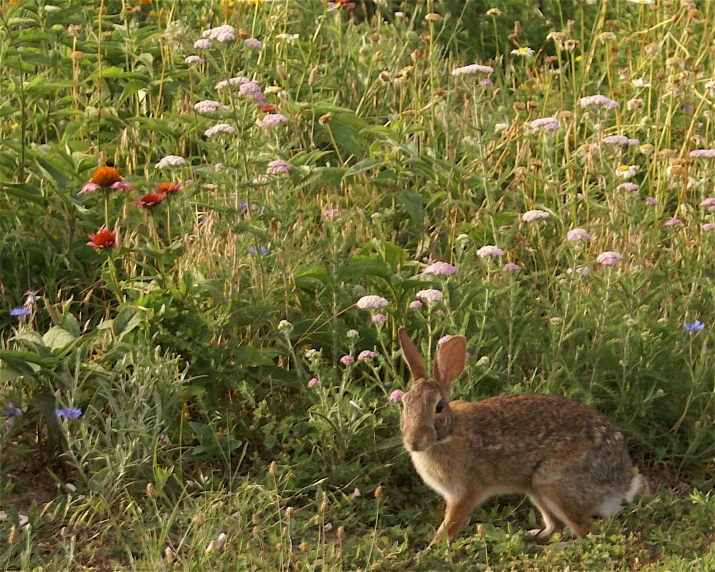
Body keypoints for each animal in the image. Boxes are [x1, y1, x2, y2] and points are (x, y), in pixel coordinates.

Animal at [398, 326, 644, 544]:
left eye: (438, 407)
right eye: (403, 404)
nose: (413, 441)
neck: (448, 434)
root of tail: (622, 482)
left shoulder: (464, 494)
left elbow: (449, 526)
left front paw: (431, 549)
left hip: (553, 482)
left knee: (584, 530)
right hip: (535, 488)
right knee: (557, 525)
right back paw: (533, 537)